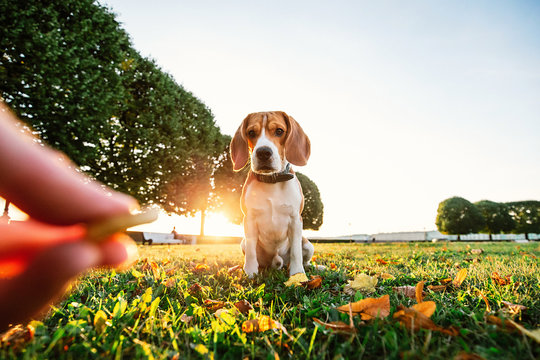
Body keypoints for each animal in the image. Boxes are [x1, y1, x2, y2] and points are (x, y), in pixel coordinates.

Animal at [230, 111, 314, 278]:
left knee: (305, 260)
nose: (263, 152)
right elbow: (251, 252)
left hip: (308, 244)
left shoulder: (296, 219)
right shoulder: (249, 219)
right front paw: (250, 273)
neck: (272, 181)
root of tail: (278, 264)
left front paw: (297, 275)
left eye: (279, 131)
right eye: (251, 132)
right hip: (243, 242)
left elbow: (296, 252)